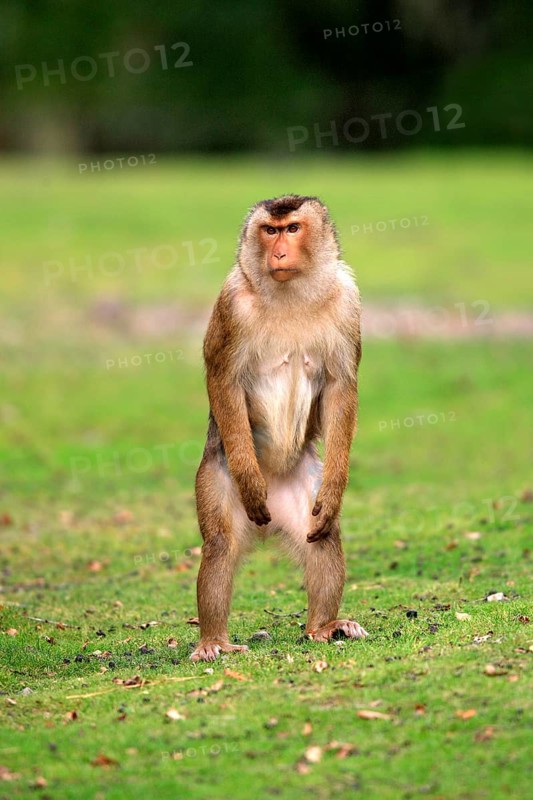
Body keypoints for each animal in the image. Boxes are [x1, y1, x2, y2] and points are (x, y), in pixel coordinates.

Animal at [191, 194, 367, 662]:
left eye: (292, 229)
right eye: (269, 231)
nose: (279, 253)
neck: (290, 294)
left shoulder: (347, 300)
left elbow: (341, 386)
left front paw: (339, 482)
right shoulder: (232, 301)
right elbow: (223, 379)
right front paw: (251, 482)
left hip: (301, 490)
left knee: (322, 537)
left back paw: (323, 626)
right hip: (219, 476)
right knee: (221, 544)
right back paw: (213, 641)